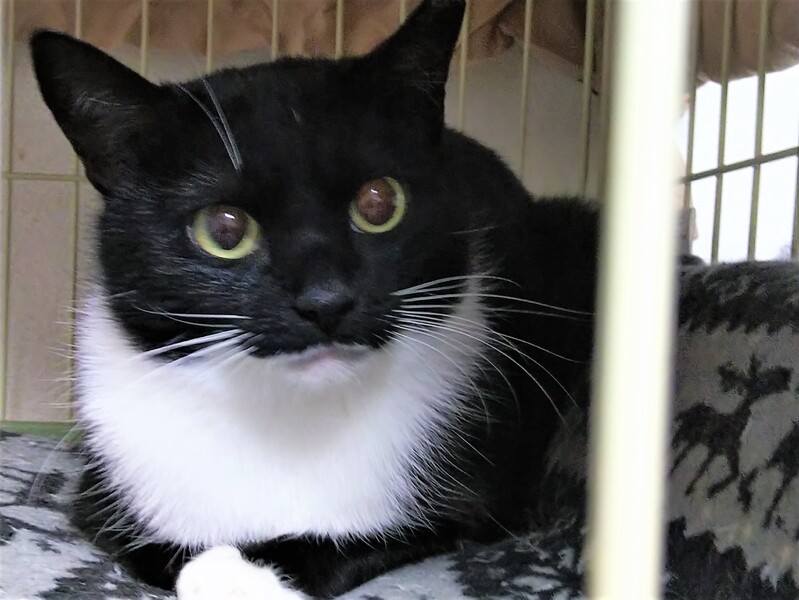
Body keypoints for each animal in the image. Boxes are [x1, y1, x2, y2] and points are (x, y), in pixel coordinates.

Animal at [31, 1, 598, 598]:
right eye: (223, 229)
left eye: (379, 202)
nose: (326, 301)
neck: (290, 415)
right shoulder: (103, 495)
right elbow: (147, 546)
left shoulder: (472, 496)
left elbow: (379, 535)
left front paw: (240, 569)